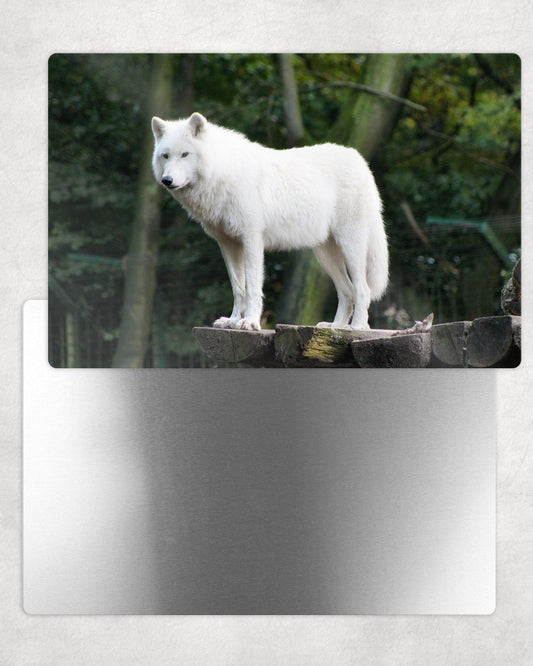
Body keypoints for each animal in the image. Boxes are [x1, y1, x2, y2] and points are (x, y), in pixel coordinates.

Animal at [151, 112, 388, 331]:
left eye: (185, 154)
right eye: (165, 156)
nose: (167, 180)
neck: (222, 172)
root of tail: (360, 160)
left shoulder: (252, 240)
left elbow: (253, 286)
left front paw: (250, 322)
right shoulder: (227, 244)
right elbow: (238, 287)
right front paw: (233, 321)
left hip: (350, 247)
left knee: (363, 289)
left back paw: (357, 327)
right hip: (325, 255)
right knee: (347, 292)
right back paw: (335, 327)